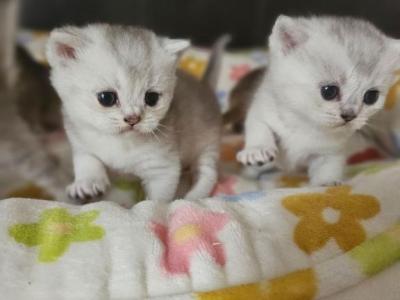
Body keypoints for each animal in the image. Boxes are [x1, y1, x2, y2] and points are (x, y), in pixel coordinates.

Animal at [47, 24, 222, 203]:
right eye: (106, 98)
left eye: (151, 98)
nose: (133, 119)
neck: (118, 143)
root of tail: (204, 85)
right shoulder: (80, 144)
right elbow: (88, 160)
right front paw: (87, 183)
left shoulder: (163, 168)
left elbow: (158, 198)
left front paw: (153, 208)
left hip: (208, 144)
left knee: (208, 173)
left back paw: (193, 197)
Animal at [238, 15, 400, 185]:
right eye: (329, 91)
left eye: (371, 97)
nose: (349, 116)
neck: (307, 123)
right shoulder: (263, 107)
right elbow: (260, 126)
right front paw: (257, 149)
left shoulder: (330, 151)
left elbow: (328, 167)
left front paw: (328, 184)